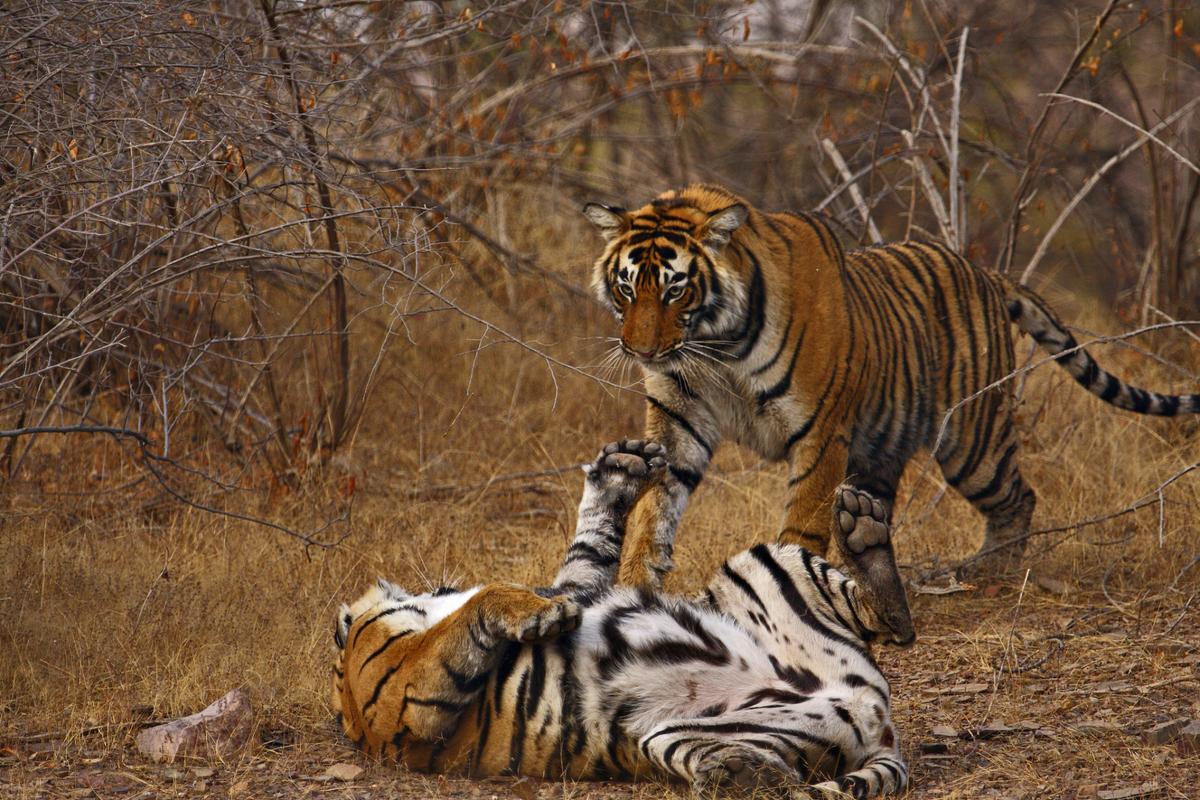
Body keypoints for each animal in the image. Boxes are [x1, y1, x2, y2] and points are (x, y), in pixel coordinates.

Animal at [331, 441, 907, 796]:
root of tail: (880, 726)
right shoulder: (405, 699)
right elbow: (482, 601)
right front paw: (539, 612)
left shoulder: (577, 583)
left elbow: (585, 553)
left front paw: (619, 471)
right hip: (676, 733)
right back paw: (739, 773)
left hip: (766, 564)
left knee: (894, 620)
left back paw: (864, 531)